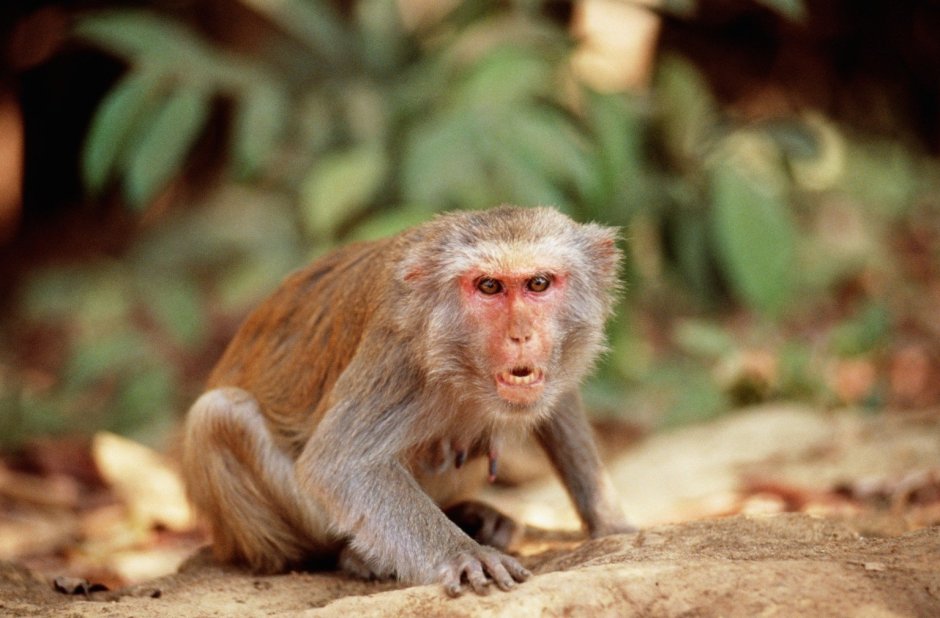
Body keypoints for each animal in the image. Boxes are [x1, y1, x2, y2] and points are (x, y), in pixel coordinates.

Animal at [181, 205, 633, 596]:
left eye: (538, 283)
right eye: (489, 286)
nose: (520, 334)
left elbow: (559, 406)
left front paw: (612, 523)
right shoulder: (400, 354)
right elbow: (341, 465)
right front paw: (464, 555)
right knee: (220, 414)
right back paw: (352, 555)